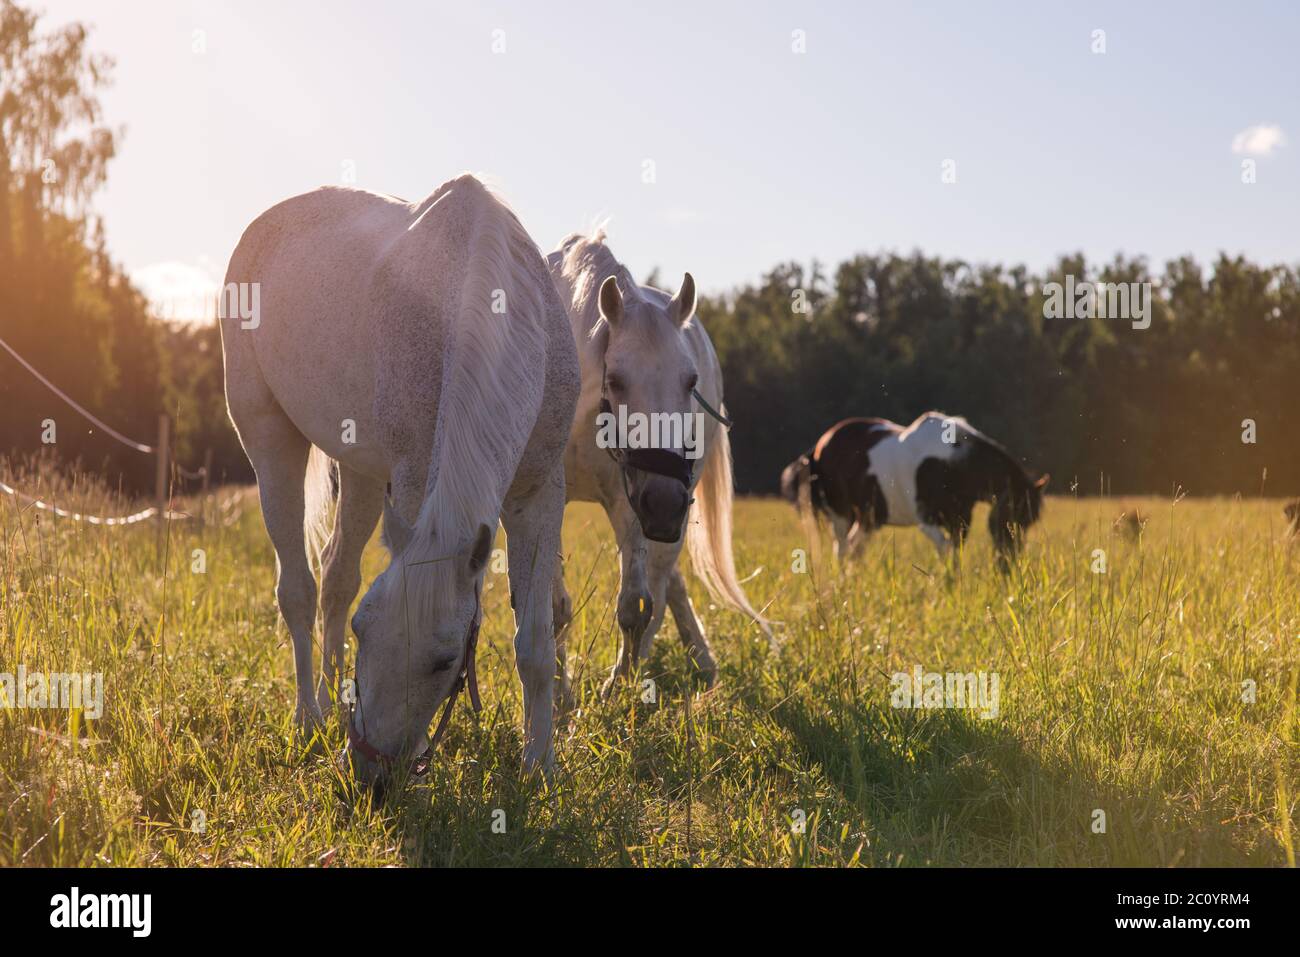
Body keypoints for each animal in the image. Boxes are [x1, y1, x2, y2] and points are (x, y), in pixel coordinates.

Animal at [220, 175, 579, 784]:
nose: (367, 778)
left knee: (336, 580)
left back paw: (329, 702)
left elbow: (534, 644)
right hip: (269, 440)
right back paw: (309, 717)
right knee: (299, 590)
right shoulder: (413, 484)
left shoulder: (538, 493)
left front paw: (540, 766)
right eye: (366, 632)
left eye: (444, 660)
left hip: (362, 474)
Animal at [546, 229, 771, 697]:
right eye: (615, 380)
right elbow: (555, 607)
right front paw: (559, 697)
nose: (666, 502)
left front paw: (620, 686)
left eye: (690, 381)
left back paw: (698, 661)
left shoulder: (633, 501)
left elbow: (636, 605)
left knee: (665, 579)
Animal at [782, 412, 1048, 571]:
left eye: (1030, 521)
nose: (1010, 564)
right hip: (840, 514)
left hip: (869, 518)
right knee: (842, 548)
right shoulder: (926, 521)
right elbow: (946, 552)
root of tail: (820, 445)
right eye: (1014, 516)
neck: (952, 462)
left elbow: (955, 555)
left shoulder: (961, 522)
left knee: (855, 549)